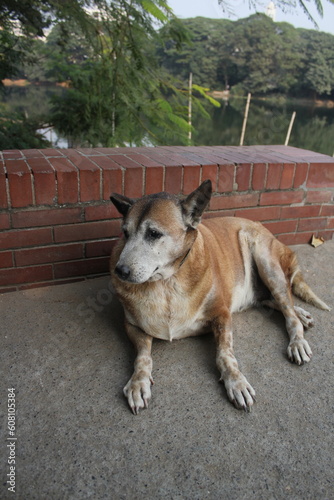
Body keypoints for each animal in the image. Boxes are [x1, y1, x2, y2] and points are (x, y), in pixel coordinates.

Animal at [110, 180, 332, 414]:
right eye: (125, 233)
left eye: (153, 233)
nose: (120, 271)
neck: (166, 283)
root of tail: (264, 228)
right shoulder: (133, 326)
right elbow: (142, 357)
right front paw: (138, 382)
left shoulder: (222, 315)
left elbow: (225, 354)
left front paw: (236, 381)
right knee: (269, 299)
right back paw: (302, 315)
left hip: (267, 262)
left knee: (287, 307)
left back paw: (298, 338)